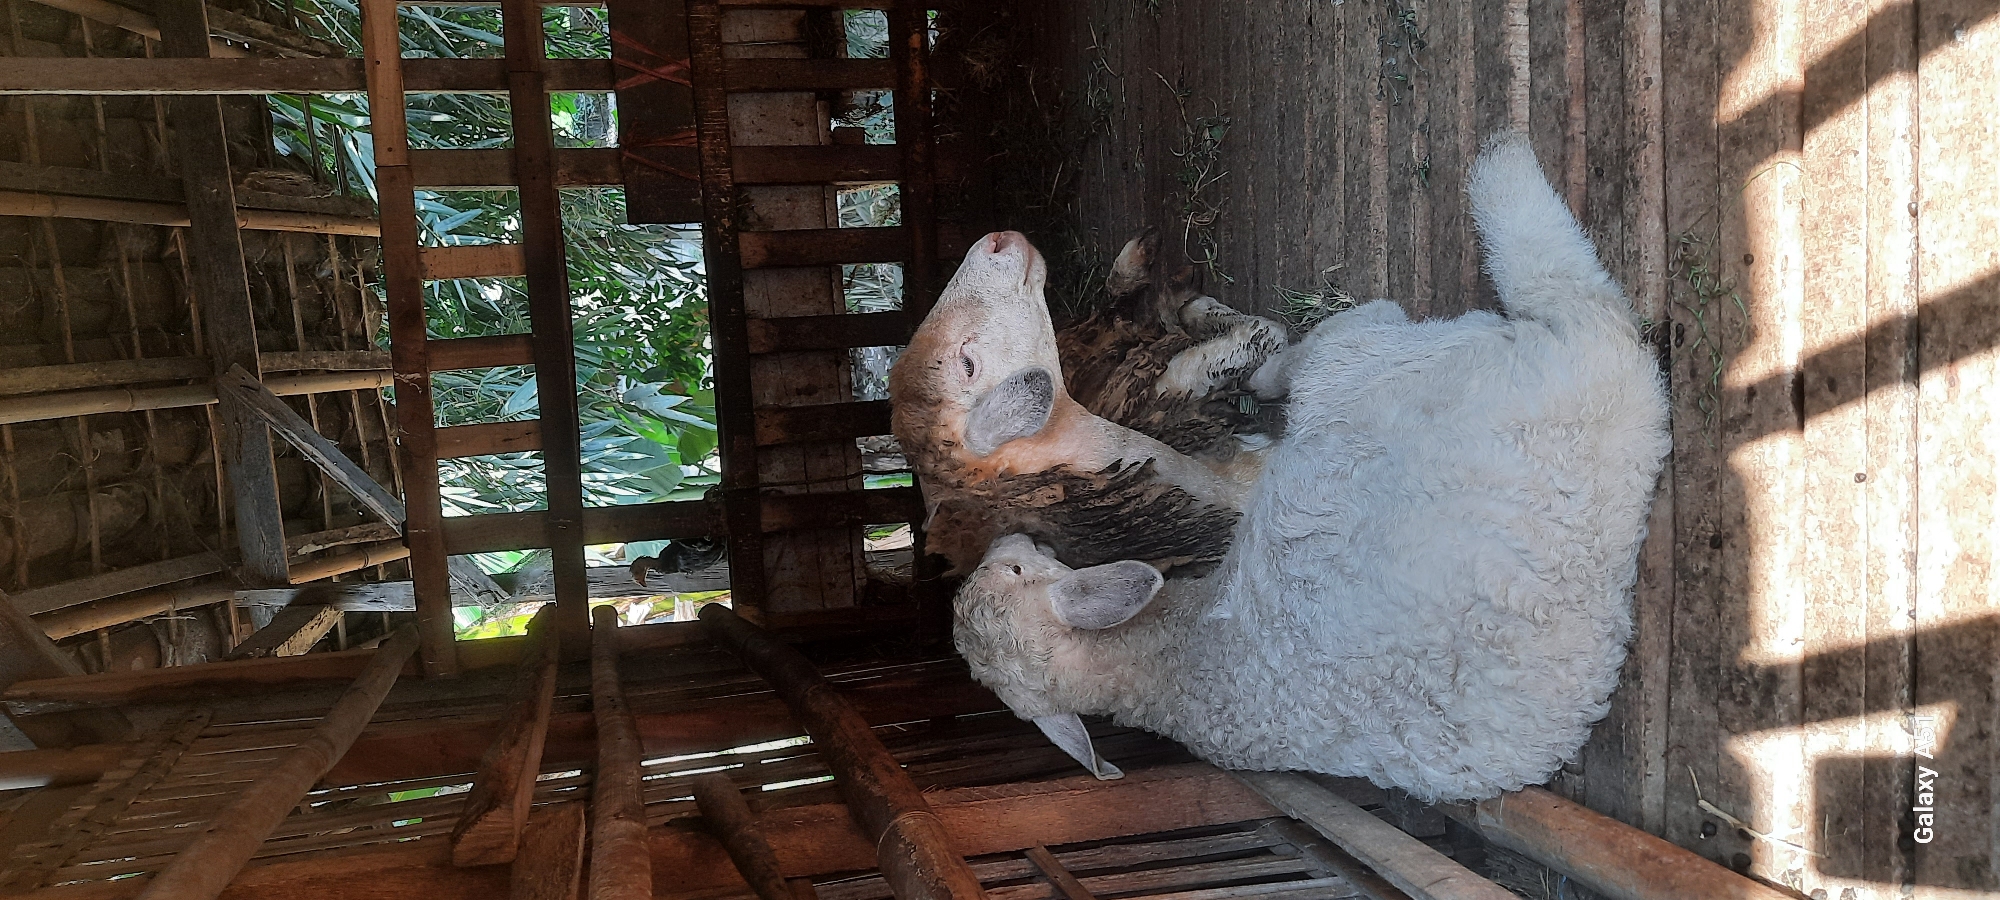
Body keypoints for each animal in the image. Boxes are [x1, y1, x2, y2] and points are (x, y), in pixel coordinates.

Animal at [950, 133, 1672, 802]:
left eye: (1013, 573)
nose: (1011, 543)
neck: (1175, 663)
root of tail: (1608, 359)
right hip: (1394, 354)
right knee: (1345, 335)